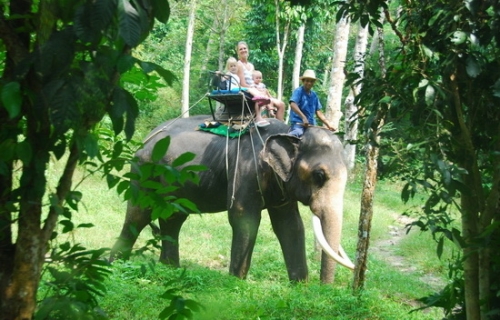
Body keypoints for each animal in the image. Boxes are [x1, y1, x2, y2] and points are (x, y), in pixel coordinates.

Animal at [111, 114, 354, 282]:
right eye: (319, 175)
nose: (323, 287)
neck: (289, 132)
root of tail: (145, 139)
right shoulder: (246, 170)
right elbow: (243, 217)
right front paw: (236, 281)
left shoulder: (280, 186)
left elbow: (290, 225)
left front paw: (300, 286)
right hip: (143, 172)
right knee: (138, 214)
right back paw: (115, 264)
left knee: (173, 218)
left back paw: (170, 268)